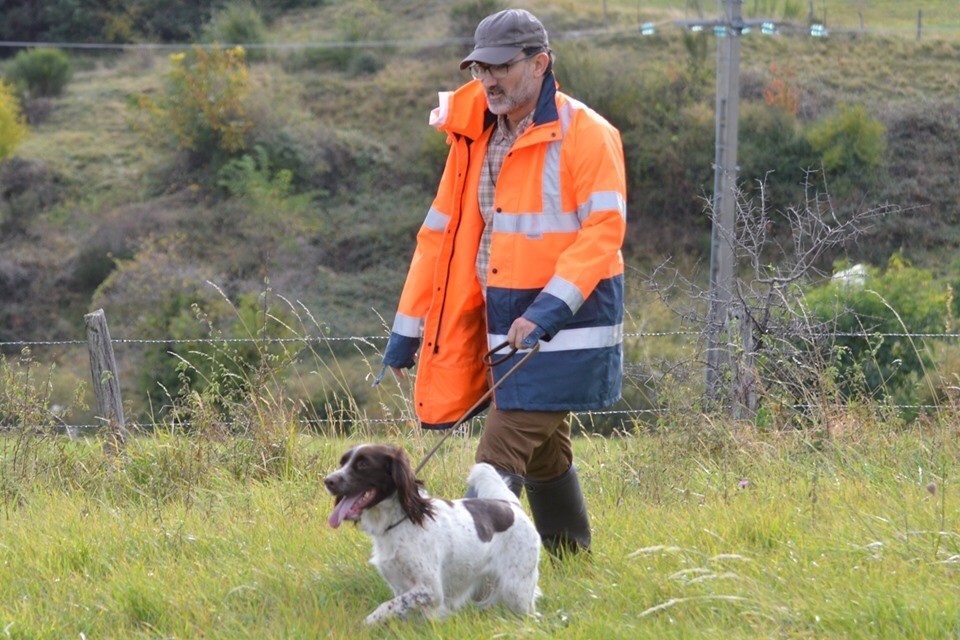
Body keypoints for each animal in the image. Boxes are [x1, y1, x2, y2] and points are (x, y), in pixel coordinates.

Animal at [324, 444, 540, 624]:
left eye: (363, 464)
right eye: (342, 462)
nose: (328, 481)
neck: (401, 521)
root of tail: (510, 505)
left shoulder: (431, 590)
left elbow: (385, 607)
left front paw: (366, 623)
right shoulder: (400, 586)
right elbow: (400, 609)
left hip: (516, 589)